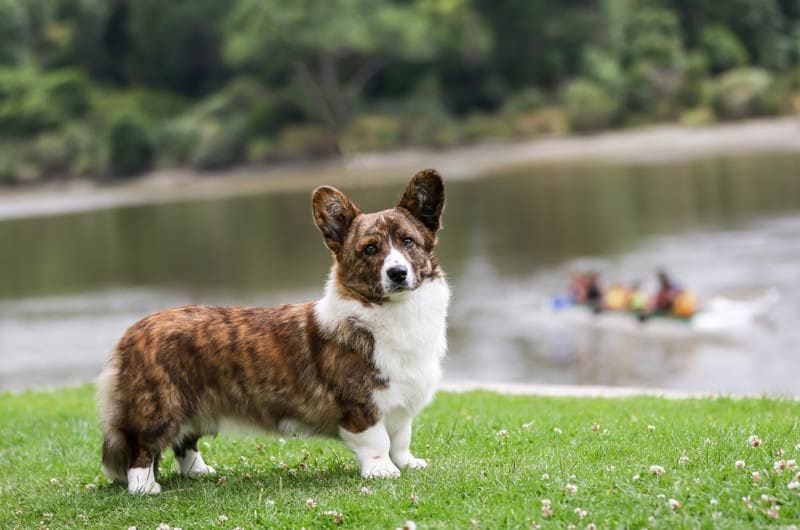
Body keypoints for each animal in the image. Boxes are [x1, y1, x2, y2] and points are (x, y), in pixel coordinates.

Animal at [97, 168, 450, 490]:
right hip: (160, 406)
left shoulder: (402, 405)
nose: (397, 273)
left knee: (185, 442)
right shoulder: (362, 404)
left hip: (193, 406)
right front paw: (382, 471)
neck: (394, 313)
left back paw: (199, 471)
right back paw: (144, 488)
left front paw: (408, 464)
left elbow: (400, 439)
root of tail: (131, 332)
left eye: (408, 242)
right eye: (370, 249)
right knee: (143, 448)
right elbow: (377, 441)